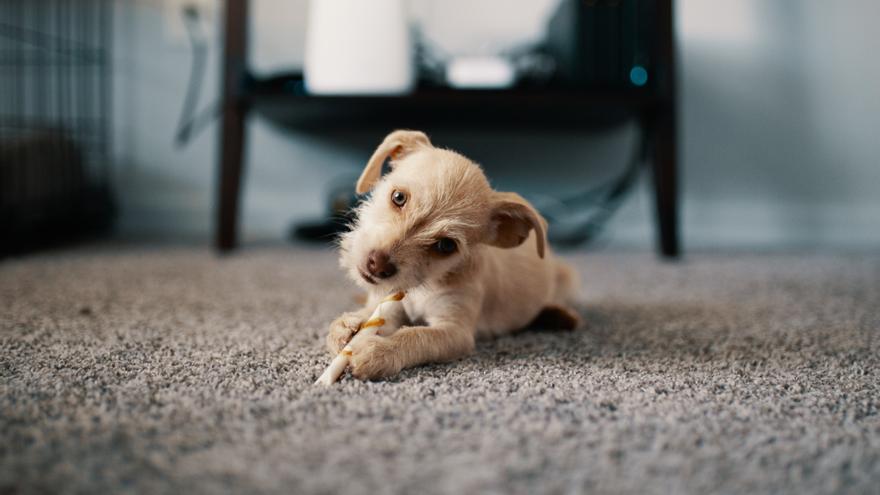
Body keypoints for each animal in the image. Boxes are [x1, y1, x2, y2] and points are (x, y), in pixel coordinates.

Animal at [326, 131, 580, 380]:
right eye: (398, 197)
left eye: (446, 246)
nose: (377, 266)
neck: (424, 286)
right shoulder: (390, 305)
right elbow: (371, 315)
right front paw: (348, 326)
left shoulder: (455, 332)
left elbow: (416, 336)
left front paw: (379, 351)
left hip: (567, 278)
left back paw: (559, 316)